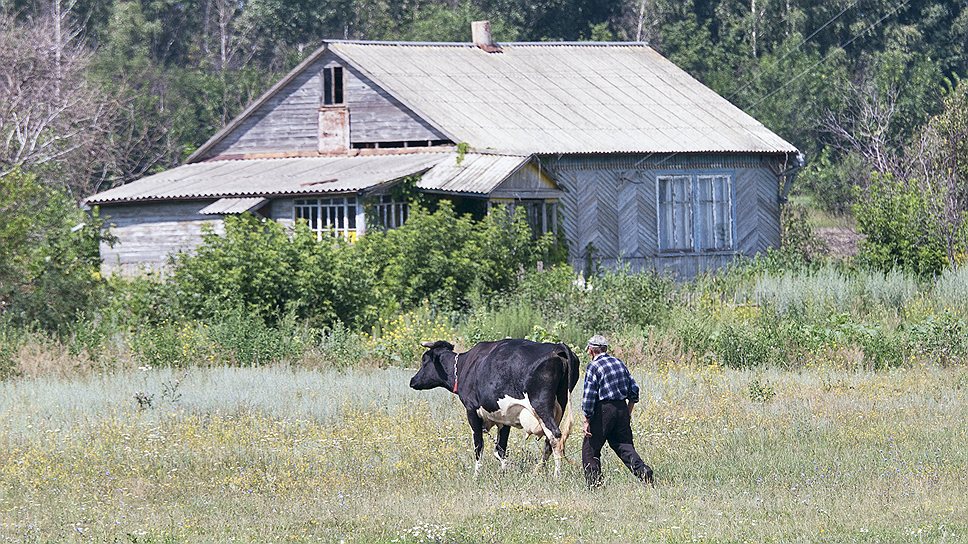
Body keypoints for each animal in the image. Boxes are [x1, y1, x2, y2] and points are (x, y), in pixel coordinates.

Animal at [410, 340, 584, 476]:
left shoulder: (471, 410)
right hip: (559, 406)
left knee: (555, 437)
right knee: (550, 441)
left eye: (424, 360)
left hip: (541, 405)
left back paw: (556, 475)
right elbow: (500, 449)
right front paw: (503, 472)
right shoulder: (504, 417)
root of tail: (557, 347)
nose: (412, 381)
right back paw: (538, 471)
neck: (465, 366)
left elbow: (478, 446)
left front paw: (477, 475)